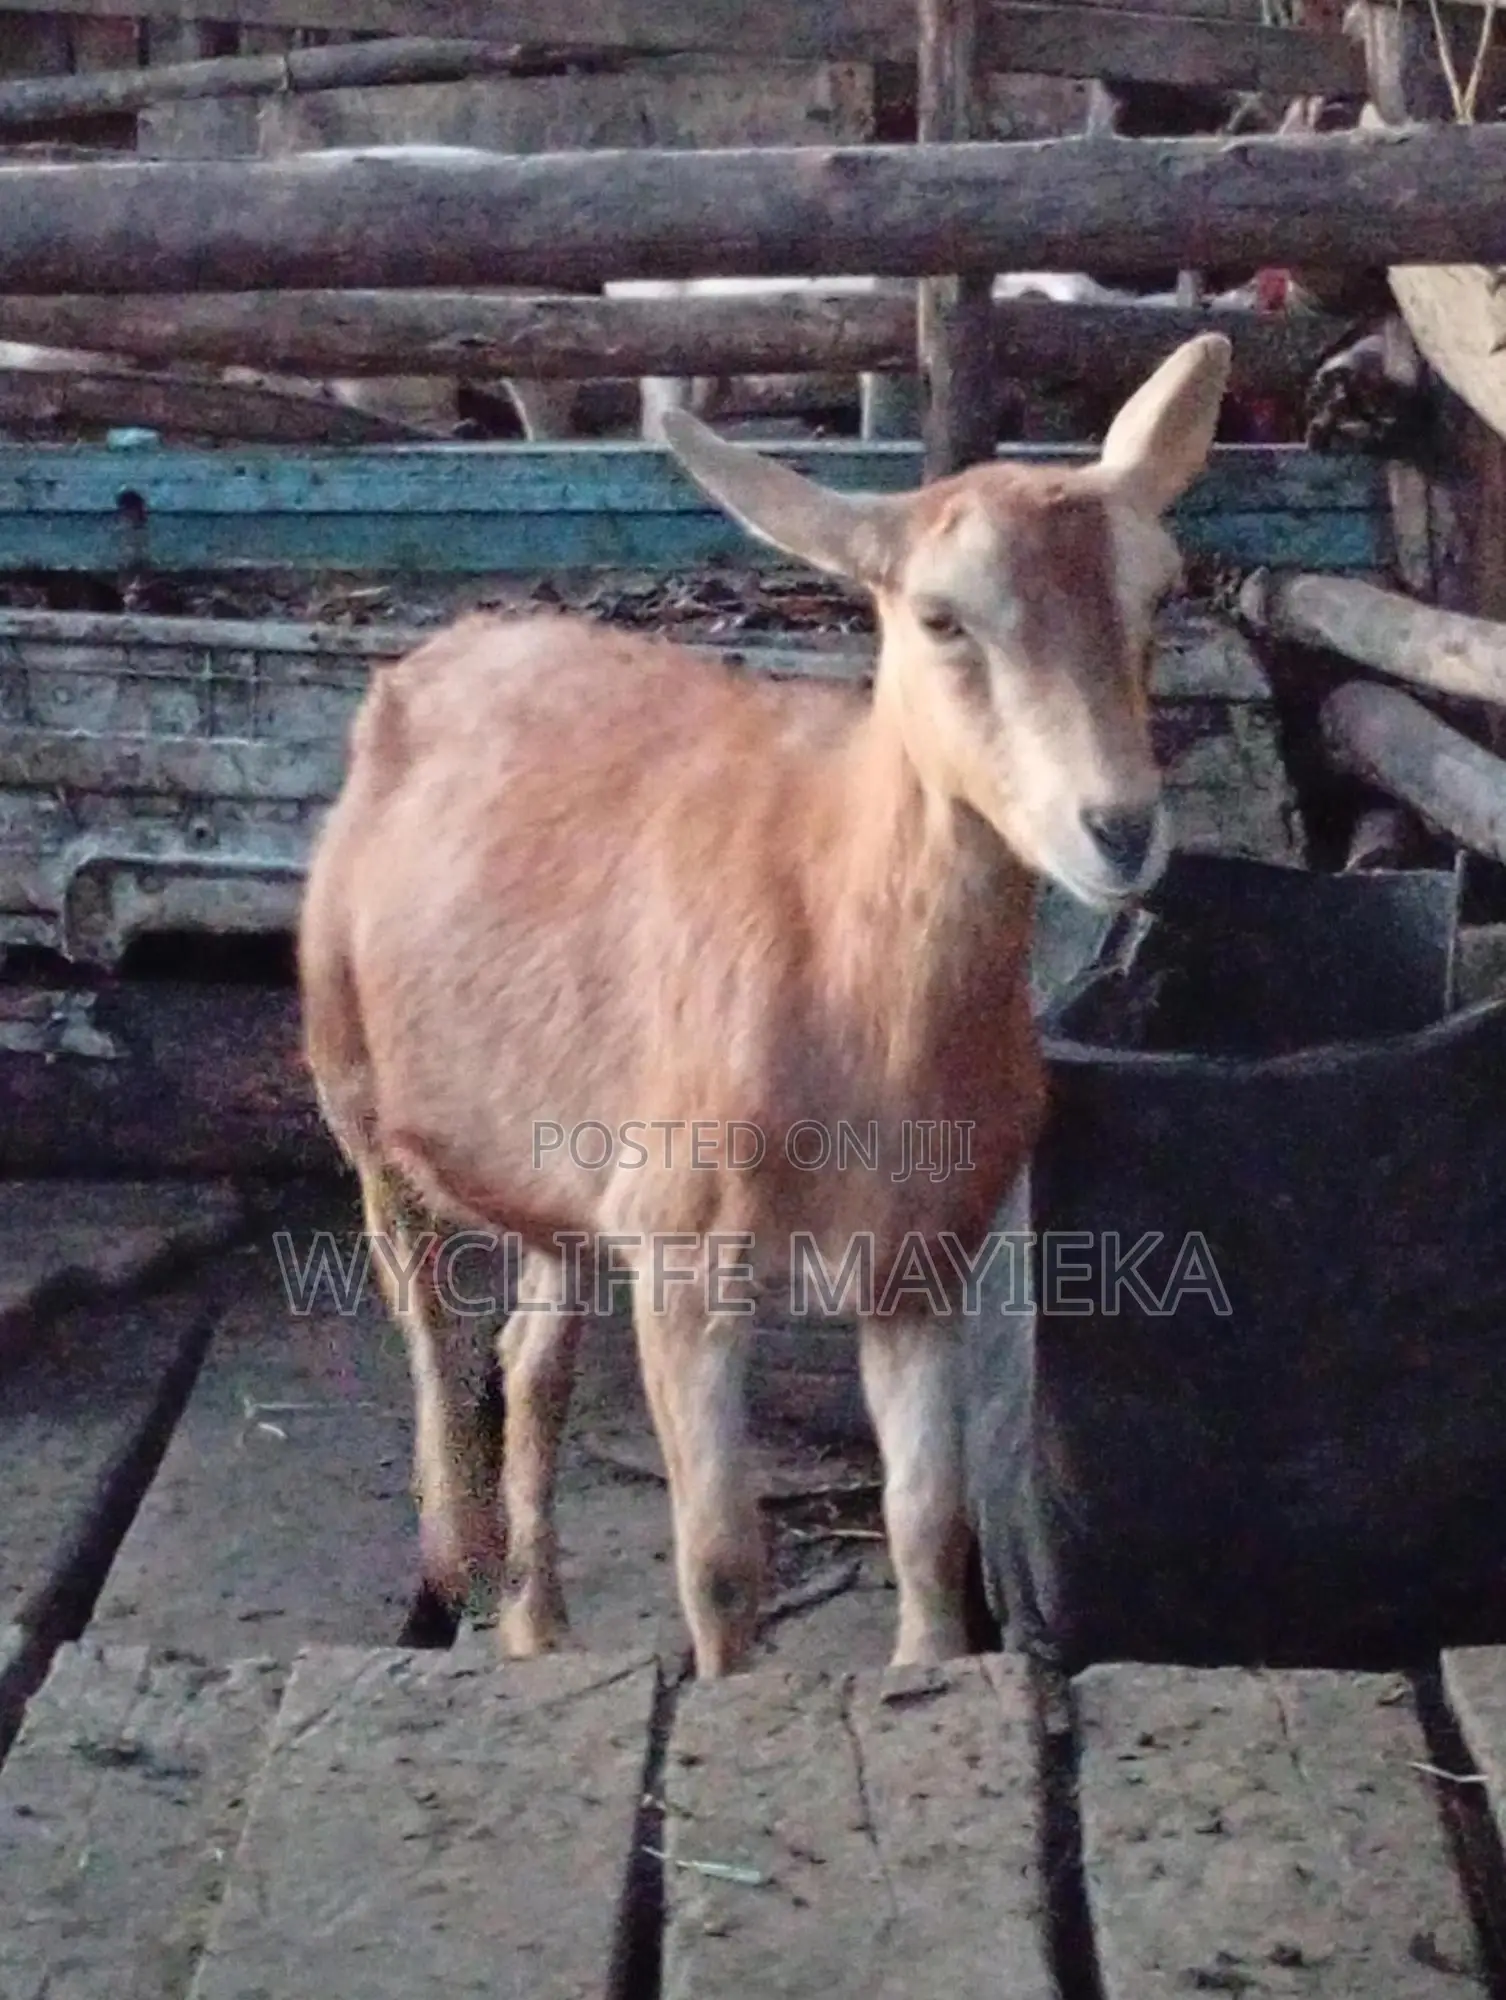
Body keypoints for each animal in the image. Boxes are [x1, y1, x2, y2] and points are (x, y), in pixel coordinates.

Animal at [298, 332, 1233, 1678]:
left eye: (1159, 594)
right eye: (942, 617)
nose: (1117, 828)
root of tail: (437, 654)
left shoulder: (920, 1251)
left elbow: (927, 1524)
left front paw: (923, 1663)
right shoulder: (685, 1253)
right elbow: (721, 1559)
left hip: (556, 1159)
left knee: (532, 1359)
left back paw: (536, 1621)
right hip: (352, 1082)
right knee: (424, 1318)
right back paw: (450, 1570)